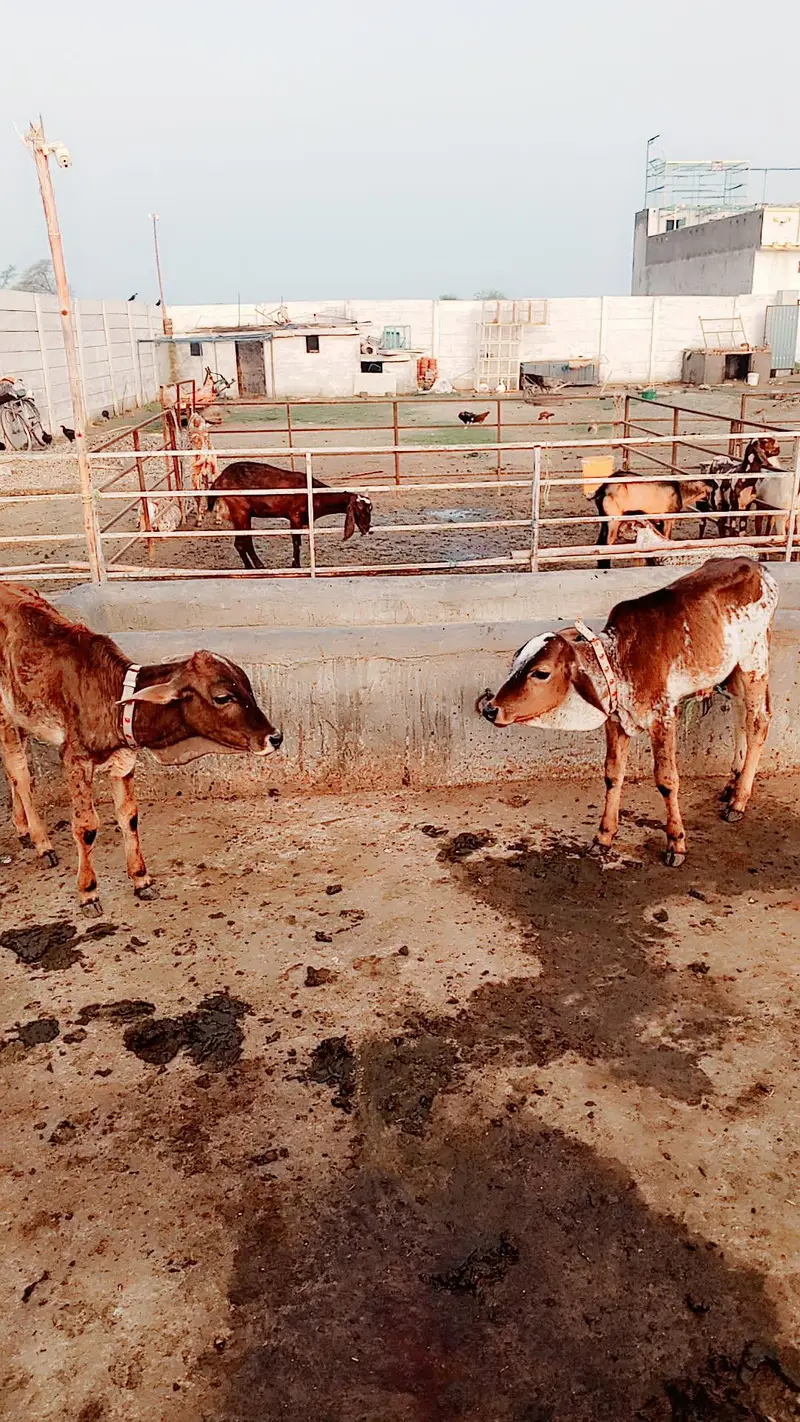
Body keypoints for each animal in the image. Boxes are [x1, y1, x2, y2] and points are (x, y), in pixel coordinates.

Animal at [0, 585, 282, 914]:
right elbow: (86, 826)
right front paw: (88, 891)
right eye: (223, 697)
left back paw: (22, 830)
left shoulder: (124, 759)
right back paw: (42, 844)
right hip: (6, 715)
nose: (275, 737)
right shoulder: (75, 758)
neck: (110, 695)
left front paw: (141, 879)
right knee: (19, 772)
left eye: (248, 688)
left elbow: (129, 816)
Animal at [478, 558, 778, 866]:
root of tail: (754, 564)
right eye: (516, 661)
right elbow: (612, 774)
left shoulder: (663, 718)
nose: (491, 709)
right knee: (739, 714)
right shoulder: (615, 721)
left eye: (541, 672)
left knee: (758, 721)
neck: (622, 659)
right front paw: (603, 837)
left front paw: (676, 842)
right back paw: (732, 784)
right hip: (732, 671)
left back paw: (739, 800)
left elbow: (666, 780)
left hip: (754, 662)